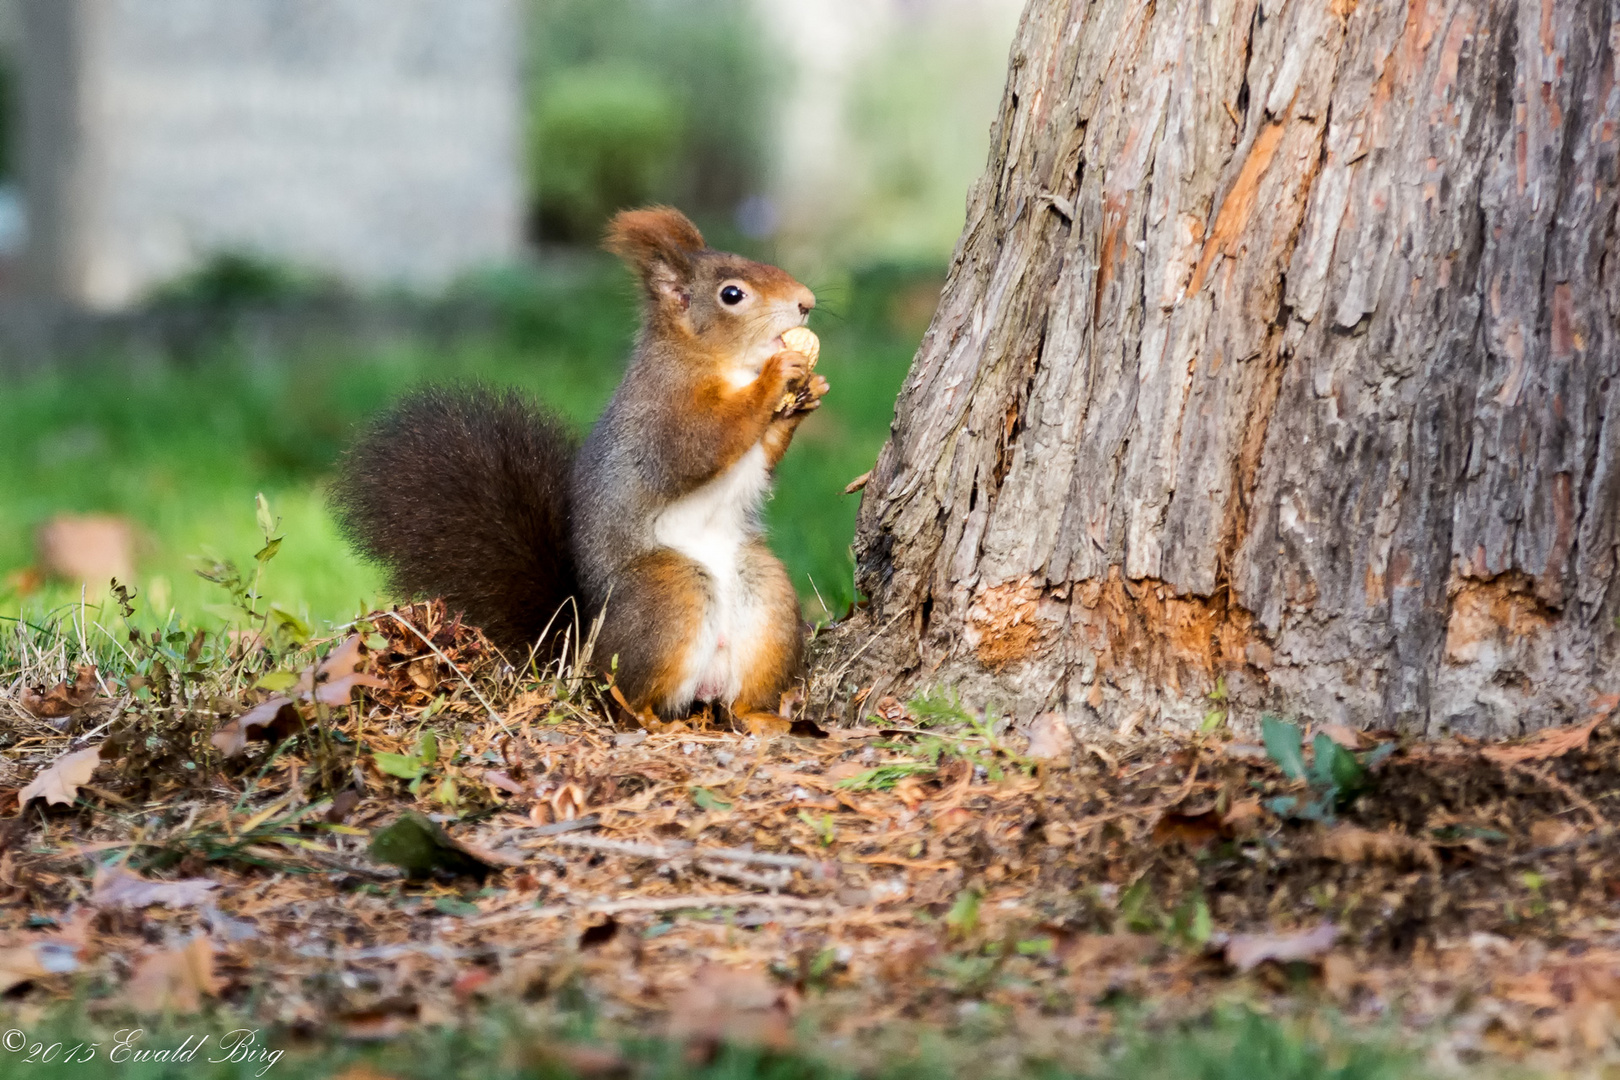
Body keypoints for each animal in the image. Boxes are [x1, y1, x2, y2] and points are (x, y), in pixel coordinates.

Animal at [333, 205, 829, 722]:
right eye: (732, 294)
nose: (807, 302)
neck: (709, 360)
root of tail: (582, 647)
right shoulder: (661, 418)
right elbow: (702, 446)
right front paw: (775, 378)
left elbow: (762, 455)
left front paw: (807, 395)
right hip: (670, 594)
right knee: (629, 693)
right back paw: (649, 719)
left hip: (766, 596)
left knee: (741, 694)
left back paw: (761, 720)